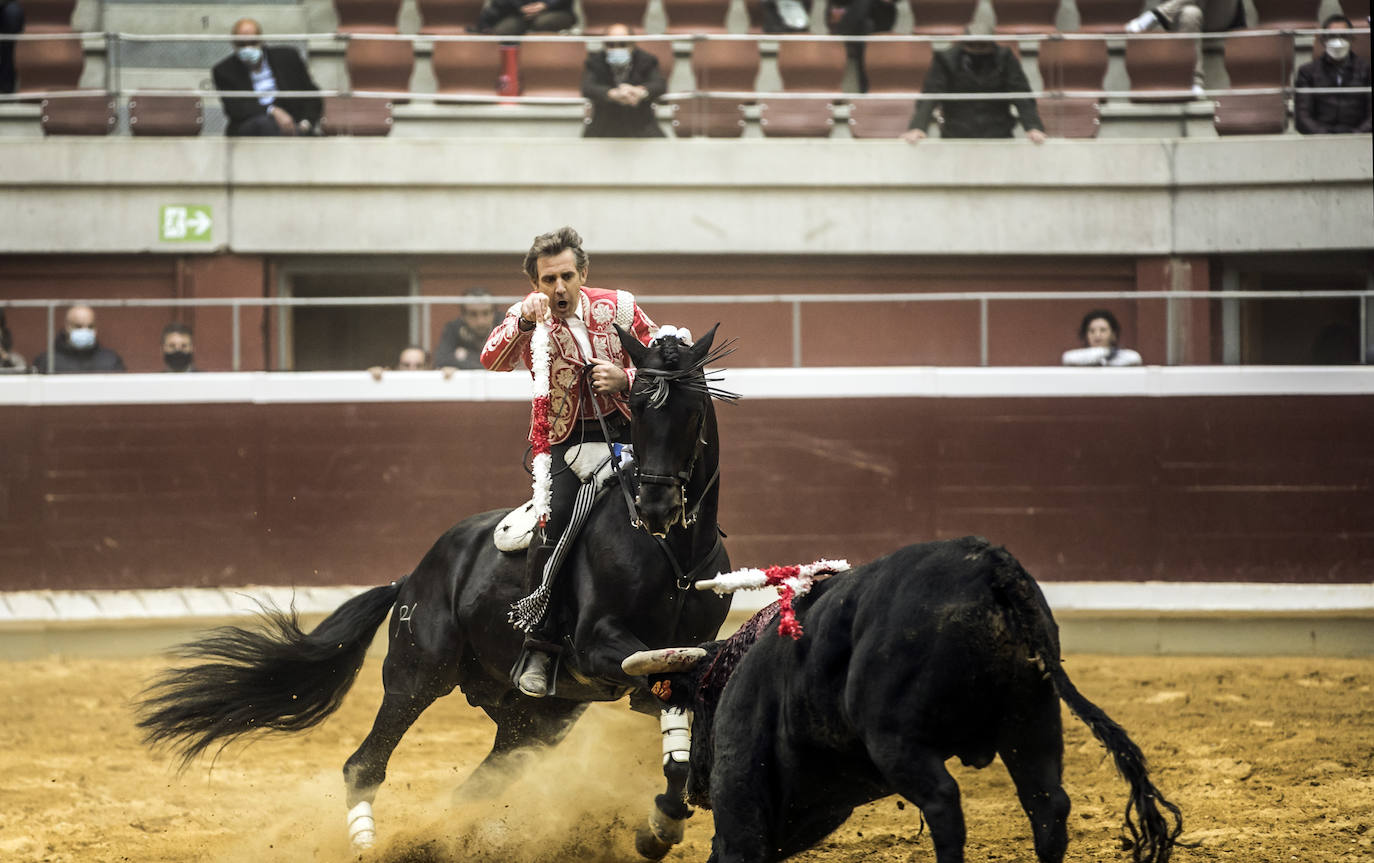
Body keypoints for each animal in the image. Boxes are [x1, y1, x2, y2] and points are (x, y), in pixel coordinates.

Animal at [138, 324, 736, 857]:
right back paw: (372, 844)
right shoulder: (597, 643)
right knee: (365, 764)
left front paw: (664, 819)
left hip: (532, 719)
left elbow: (679, 707)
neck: (674, 556)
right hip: (416, 676)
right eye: (638, 405)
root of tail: (413, 574)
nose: (656, 507)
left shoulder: (676, 655)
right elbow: (658, 683)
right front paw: (662, 822)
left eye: (693, 411)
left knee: (474, 786)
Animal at [629, 535, 1181, 857]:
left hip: (899, 742)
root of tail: (992, 567)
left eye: (697, 709)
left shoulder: (742, 805)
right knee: (1047, 805)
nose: (697, 788)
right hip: (1032, 719)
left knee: (944, 805)